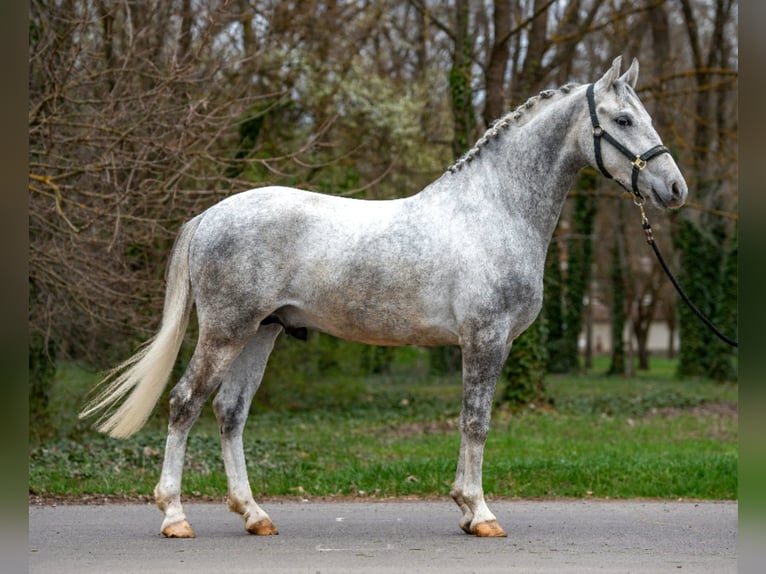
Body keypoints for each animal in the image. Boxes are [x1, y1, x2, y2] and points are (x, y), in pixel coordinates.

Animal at [80, 56, 687, 538]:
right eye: (624, 119)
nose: (675, 189)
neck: (494, 209)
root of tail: (210, 215)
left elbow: (470, 421)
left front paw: (465, 509)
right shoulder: (485, 339)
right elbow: (476, 421)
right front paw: (479, 512)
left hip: (261, 332)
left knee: (230, 412)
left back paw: (255, 515)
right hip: (226, 331)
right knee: (186, 403)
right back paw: (174, 517)